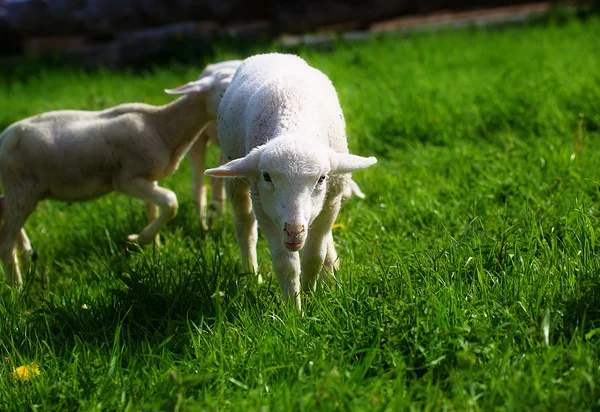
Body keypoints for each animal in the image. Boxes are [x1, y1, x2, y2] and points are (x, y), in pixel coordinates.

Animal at [0, 68, 234, 286]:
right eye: (223, 92)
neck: (160, 126)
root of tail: (4, 137)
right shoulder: (126, 179)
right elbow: (170, 202)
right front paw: (136, 240)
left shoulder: (149, 178)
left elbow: (154, 211)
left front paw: (154, 250)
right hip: (21, 188)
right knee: (5, 242)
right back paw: (17, 288)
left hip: (21, 190)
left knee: (5, 213)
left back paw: (27, 257)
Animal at [206, 52, 376, 308]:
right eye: (267, 176)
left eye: (321, 178)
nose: (294, 230)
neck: (295, 119)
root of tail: (272, 53)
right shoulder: (264, 207)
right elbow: (286, 264)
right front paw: (293, 311)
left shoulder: (332, 199)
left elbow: (314, 256)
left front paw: (310, 296)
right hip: (236, 177)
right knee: (245, 228)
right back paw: (251, 275)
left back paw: (331, 272)